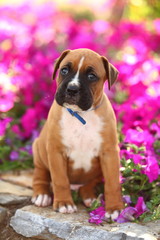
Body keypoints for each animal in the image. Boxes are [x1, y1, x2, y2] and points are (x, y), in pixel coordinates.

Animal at [31, 48, 124, 219]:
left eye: (91, 76)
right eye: (64, 70)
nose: (72, 89)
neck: (80, 114)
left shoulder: (109, 153)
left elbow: (113, 183)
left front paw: (114, 207)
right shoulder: (56, 152)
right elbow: (60, 180)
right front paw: (64, 203)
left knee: (90, 183)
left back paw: (90, 197)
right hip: (39, 149)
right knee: (40, 174)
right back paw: (42, 194)